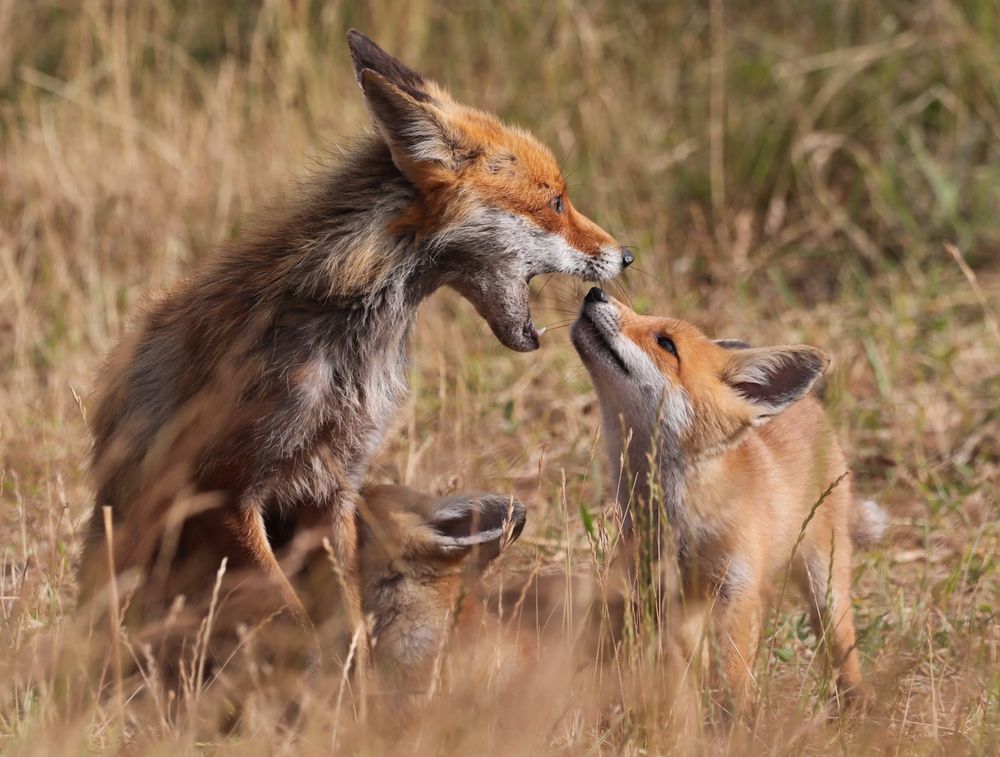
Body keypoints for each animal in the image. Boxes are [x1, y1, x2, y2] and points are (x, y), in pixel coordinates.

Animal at [78, 29, 628, 668]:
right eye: (557, 202)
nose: (627, 255)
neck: (346, 346)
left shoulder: (332, 485)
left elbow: (349, 617)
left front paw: (356, 689)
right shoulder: (224, 487)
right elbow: (292, 615)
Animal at [576, 288, 888, 704]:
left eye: (666, 343)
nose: (595, 291)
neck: (680, 519)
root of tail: (811, 406)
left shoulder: (737, 586)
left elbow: (734, 677)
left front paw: (735, 718)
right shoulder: (657, 588)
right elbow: (677, 669)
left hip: (824, 575)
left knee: (840, 640)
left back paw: (854, 698)